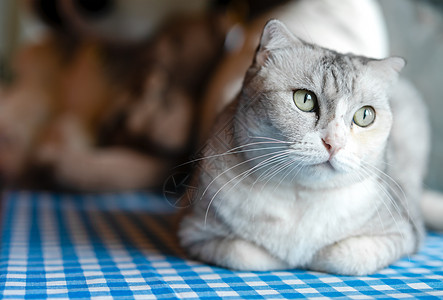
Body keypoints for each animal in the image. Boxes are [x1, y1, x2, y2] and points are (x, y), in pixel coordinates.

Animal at [179, 19, 432, 276]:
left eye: (365, 115)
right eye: (305, 99)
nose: (334, 143)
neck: (301, 196)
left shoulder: (405, 233)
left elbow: (343, 256)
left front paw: (309, 256)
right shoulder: (192, 230)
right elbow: (244, 254)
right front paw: (285, 257)